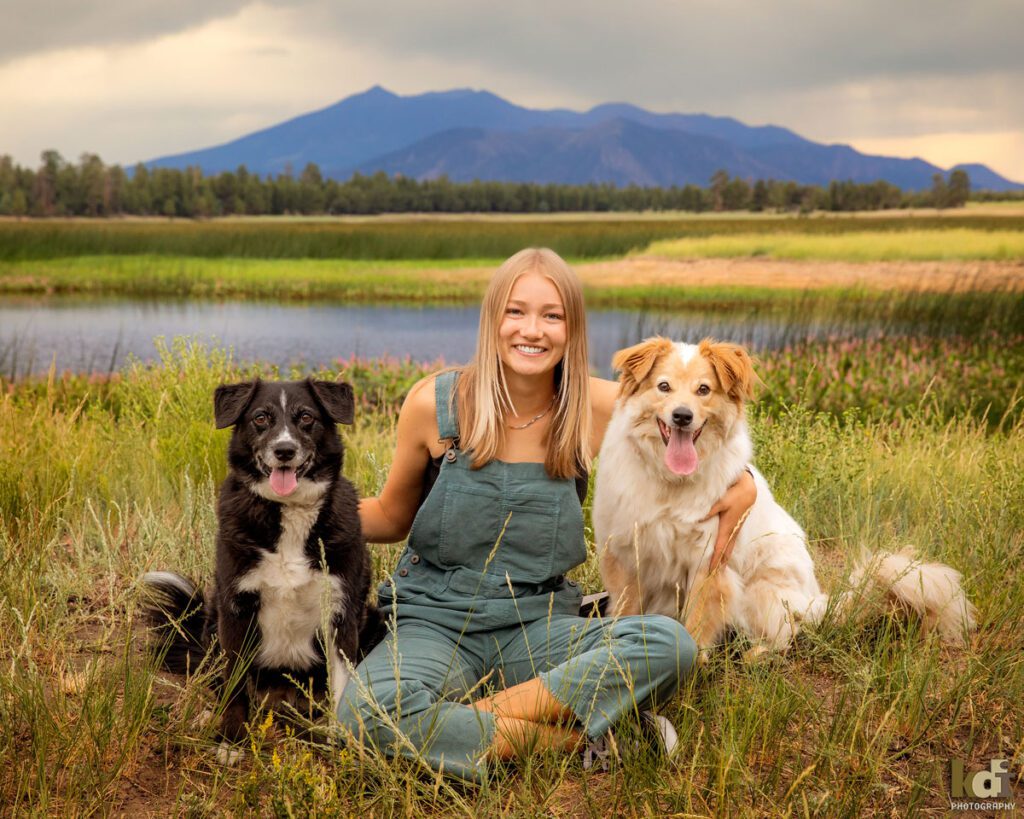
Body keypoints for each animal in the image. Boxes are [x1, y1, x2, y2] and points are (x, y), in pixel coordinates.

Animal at [143, 376, 380, 761]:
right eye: (260, 418)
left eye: (306, 417)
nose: (284, 450)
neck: (289, 513)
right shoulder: (237, 609)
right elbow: (235, 684)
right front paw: (231, 740)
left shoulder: (341, 612)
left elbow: (342, 683)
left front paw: (336, 739)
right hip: (214, 625)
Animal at [593, 335, 974, 655]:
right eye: (664, 386)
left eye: (703, 389)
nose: (682, 416)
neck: (670, 481)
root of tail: (816, 601)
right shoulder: (626, 554)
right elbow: (624, 611)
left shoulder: (709, 563)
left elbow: (697, 627)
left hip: (762, 591)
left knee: (786, 634)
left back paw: (757, 655)